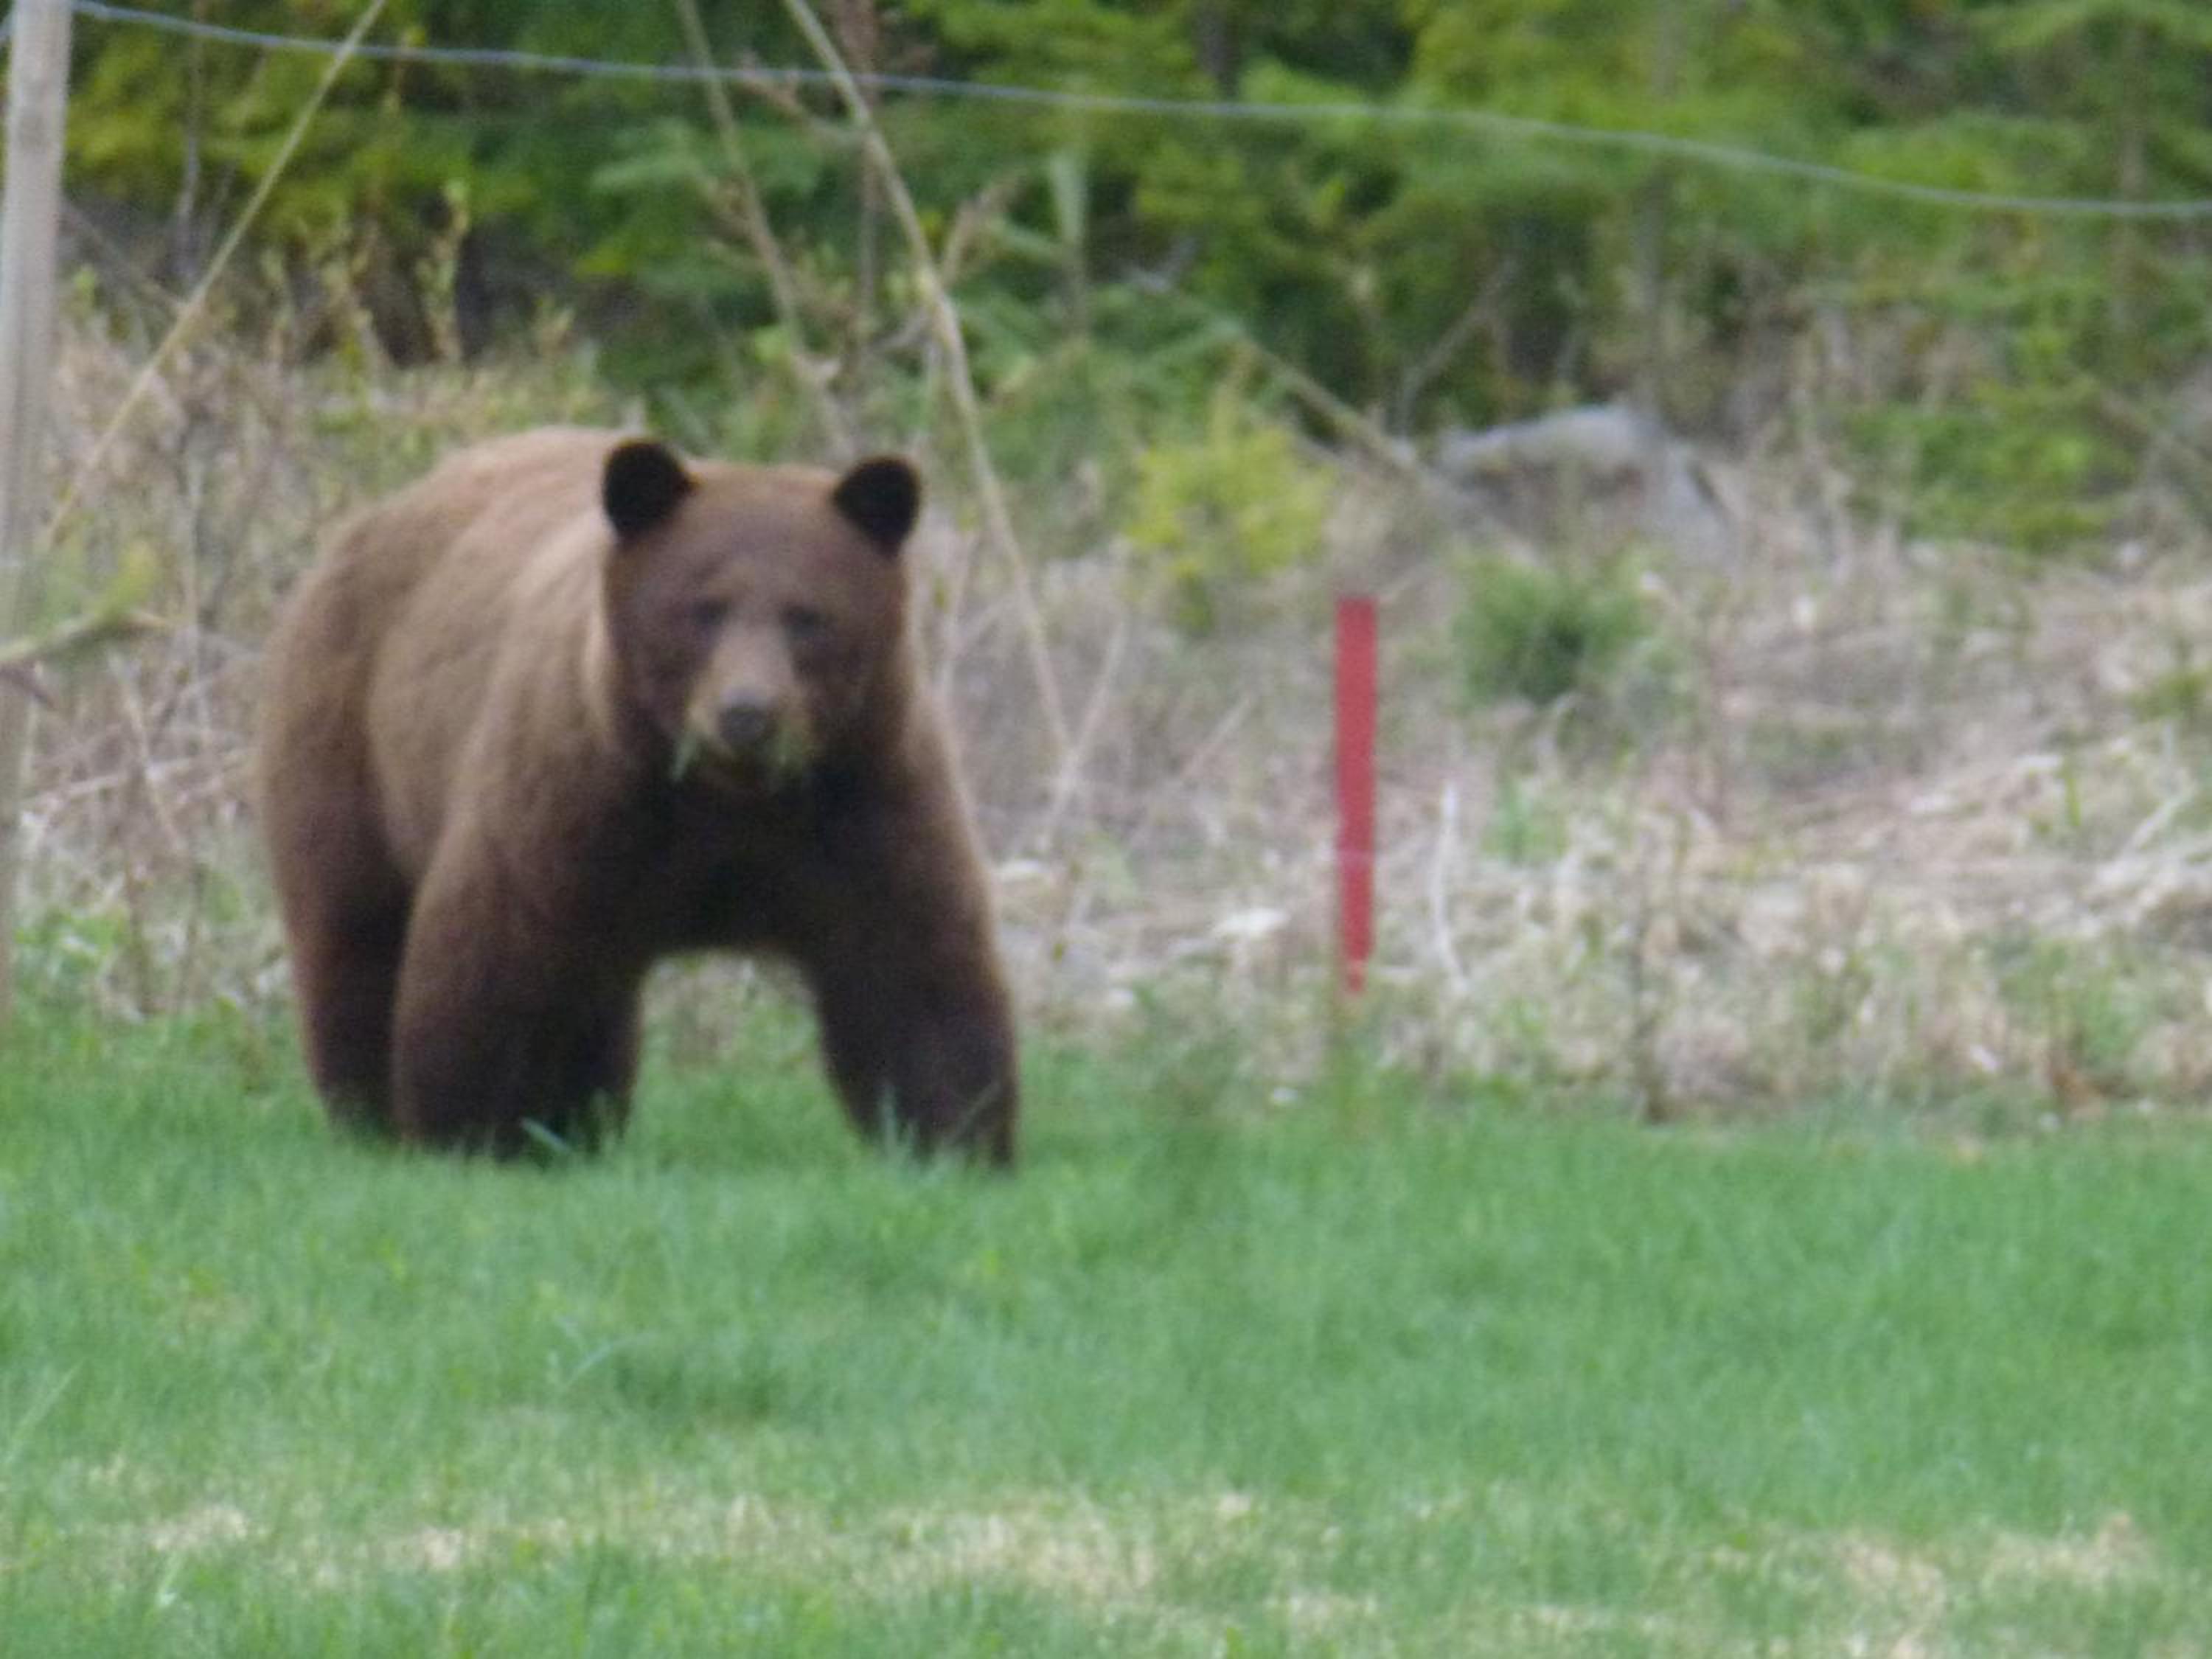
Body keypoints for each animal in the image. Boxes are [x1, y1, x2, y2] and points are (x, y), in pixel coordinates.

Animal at [255, 427, 1017, 1163]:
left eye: (809, 615)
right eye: (704, 609)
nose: (747, 713)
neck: (729, 799)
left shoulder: (863, 801)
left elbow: (916, 970)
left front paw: (957, 1138)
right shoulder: (579, 800)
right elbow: (498, 956)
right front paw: (470, 1132)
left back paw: (577, 1127)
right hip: (348, 745)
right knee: (358, 936)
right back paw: (373, 1115)